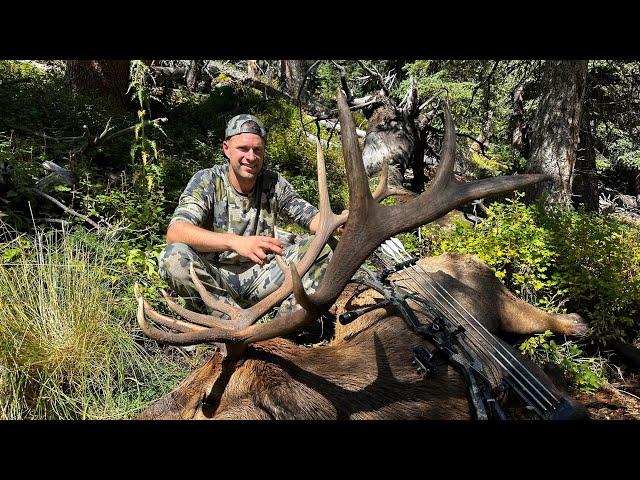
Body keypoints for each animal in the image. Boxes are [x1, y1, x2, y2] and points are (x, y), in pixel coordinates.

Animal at [135, 90, 592, 420]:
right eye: (188, 378)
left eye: (205, 403)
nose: (142, 415)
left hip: (504, 299)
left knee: (554, 321)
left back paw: (578, 323)